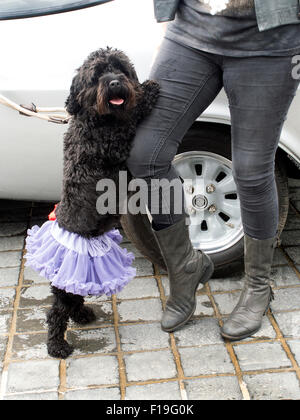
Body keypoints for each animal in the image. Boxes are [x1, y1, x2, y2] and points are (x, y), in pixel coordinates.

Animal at [47, 48, 159, 358]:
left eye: (120, 68)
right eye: (97, 75)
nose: (115, 83)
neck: (96, 119)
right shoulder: (116, 143)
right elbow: (131, 117)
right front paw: (147, 93)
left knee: (72, 298)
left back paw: (82, 315)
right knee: (56, 311)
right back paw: (57, 345)